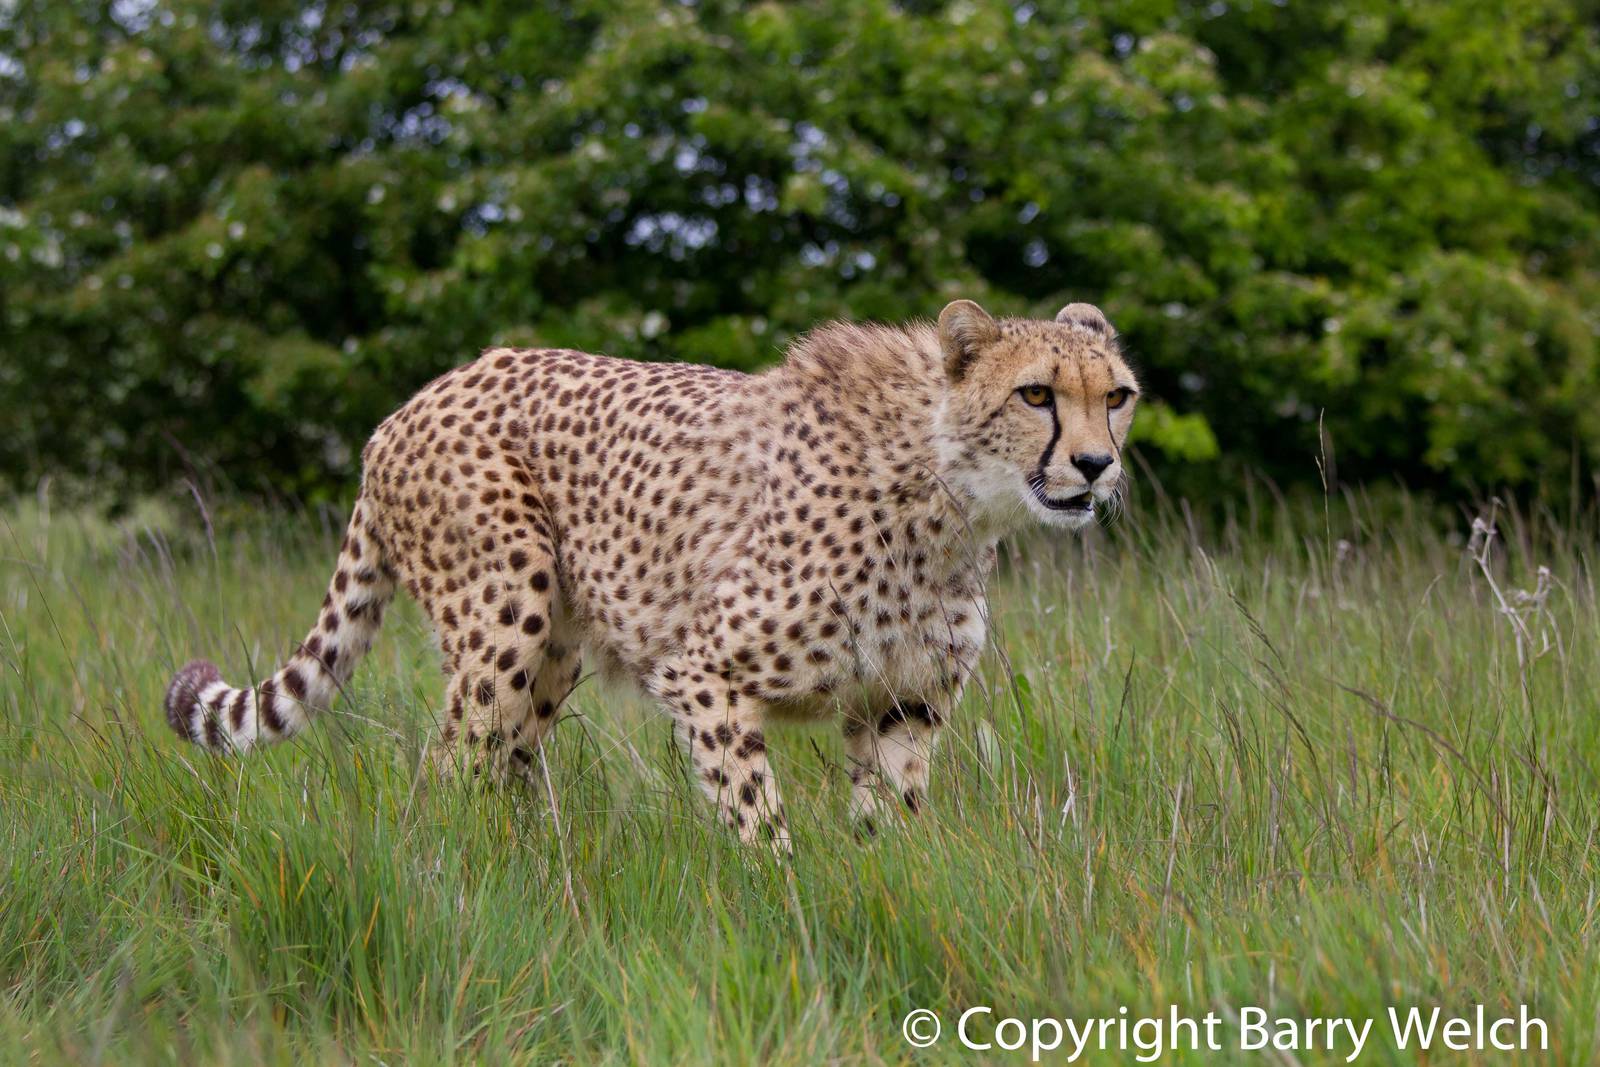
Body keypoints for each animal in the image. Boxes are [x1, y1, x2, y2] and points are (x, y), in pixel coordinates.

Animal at [165, 299, 1140, 848]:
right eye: (1036, 394)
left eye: (1117, 395)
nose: (1096, 465)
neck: (949, 495)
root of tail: (409, 405)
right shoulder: (705, 669)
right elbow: (756, 813)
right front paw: (785, 903)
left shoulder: (901, 702)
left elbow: (890, 822)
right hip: (506, 608)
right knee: (450, 764)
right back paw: (454, 877)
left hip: (553, 648)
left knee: (505, 759)